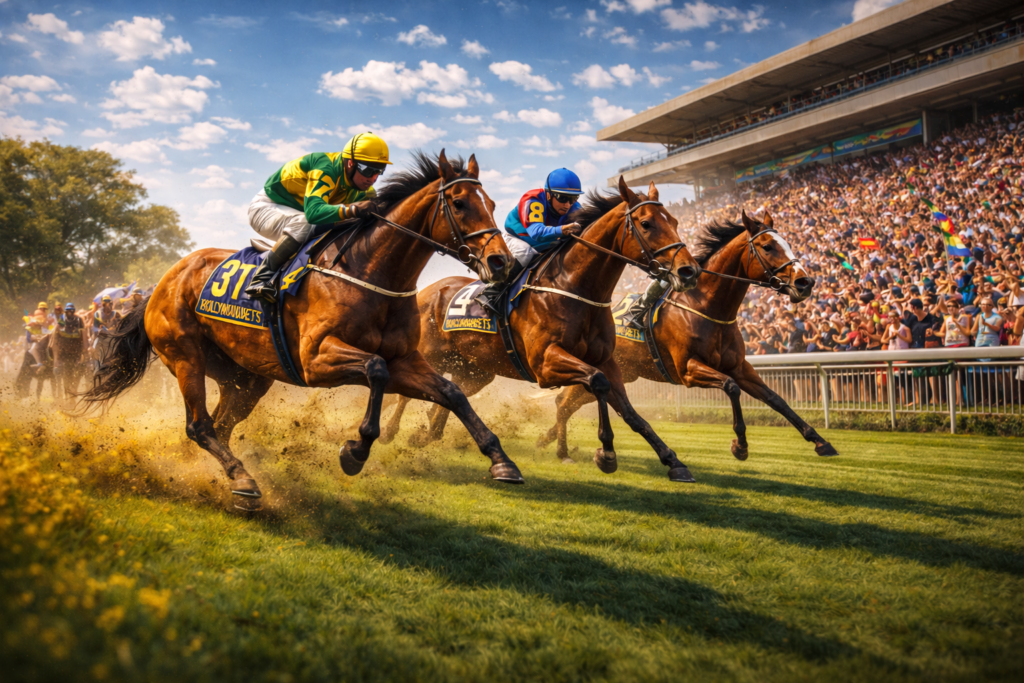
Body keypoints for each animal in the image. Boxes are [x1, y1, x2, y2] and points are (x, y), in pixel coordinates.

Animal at [80, 151, 524, 511]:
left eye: (492, 203)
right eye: (460, 203)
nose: (501, 262)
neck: (370, 271)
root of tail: (161, 282)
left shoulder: (406, 360)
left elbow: (450, 392)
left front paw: (501, 461)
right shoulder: (315, 360)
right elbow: (375, 370)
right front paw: (355, 450)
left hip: (245, 376)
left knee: (221, 426)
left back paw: (212, 475)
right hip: (185, 355)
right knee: (200, 425)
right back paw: (243, 481)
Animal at [379, 178, 706, 482]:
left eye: (675, 221)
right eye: (647, 223)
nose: (689, 271)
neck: (575, 287)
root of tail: (427, 290)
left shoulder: (607, 361)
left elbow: (631, 413)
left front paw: (673, 461)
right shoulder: (545, 364)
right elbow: (597, 382)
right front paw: (606, 453)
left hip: (475, 370)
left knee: (447, 399)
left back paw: (427, 435)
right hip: (429, 354)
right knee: (411, 394)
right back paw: (390, 431)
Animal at [539, 211, 838, 461]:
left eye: (787, 242)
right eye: (767, 246)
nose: (805, 282)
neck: (706, 306)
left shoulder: (739, 366)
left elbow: (776, 399)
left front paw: (820, 441)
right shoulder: (688, 370)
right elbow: (731, 387)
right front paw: (740, 445)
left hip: (620, 372)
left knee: (567, 403)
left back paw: (549, 438)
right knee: (563, 403)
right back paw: (558, 447)